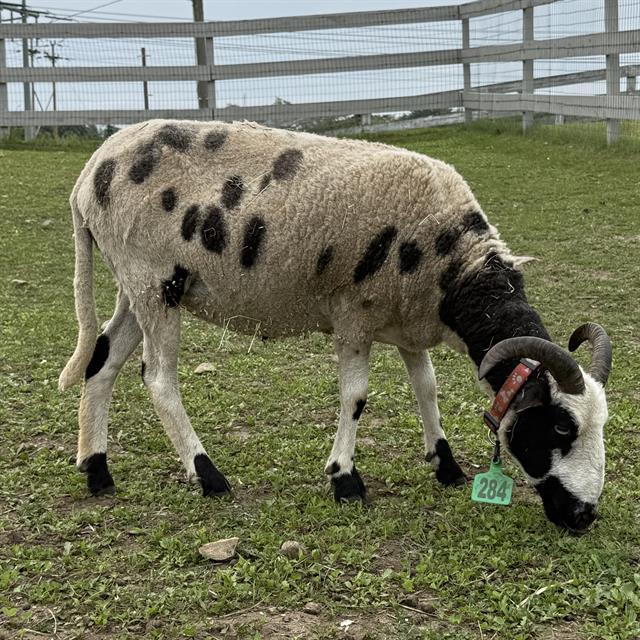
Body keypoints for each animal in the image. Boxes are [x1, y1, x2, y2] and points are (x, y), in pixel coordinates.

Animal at [60, 119, 612, 533]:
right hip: (154, 280)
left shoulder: (408, 320)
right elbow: (356, 397)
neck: (454, 272)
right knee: (158, 379)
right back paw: (208, 475)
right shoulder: (354, 317)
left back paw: (97, 470)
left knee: (101, 362)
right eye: (561, 426)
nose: (584, 516)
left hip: (138, 285)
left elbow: (426, 387)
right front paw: (345, 479)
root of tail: (87, 177)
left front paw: (446, 464)